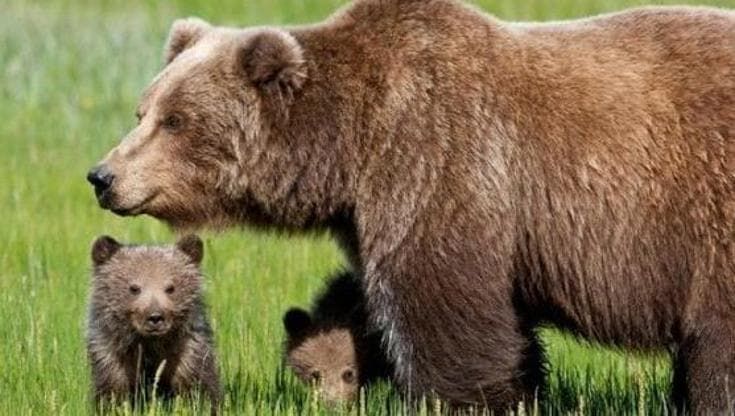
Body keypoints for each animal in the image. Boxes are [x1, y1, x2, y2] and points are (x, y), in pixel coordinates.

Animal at [86, 235, 220, 411]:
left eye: (170, 288)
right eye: (134, 288)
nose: (155, 317)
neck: (151, 345)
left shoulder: (187, 353)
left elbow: (200, 388)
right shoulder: (112, 355)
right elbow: (112, 393)